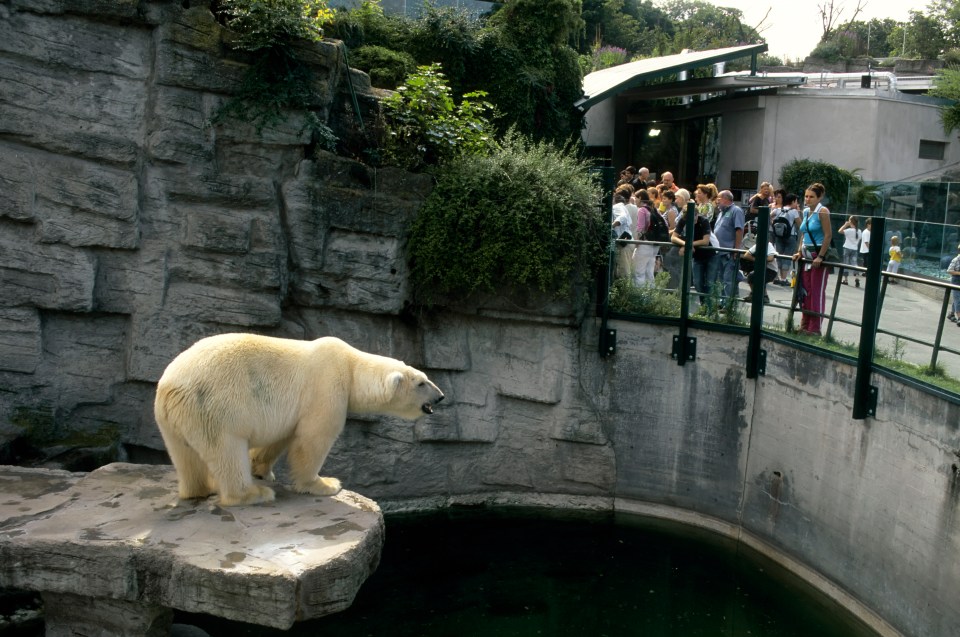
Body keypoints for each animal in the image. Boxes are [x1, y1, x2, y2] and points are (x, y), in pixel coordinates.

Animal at [155, 332, 446, 506]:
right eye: (421, 382)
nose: (441, 396)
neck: (350, 366)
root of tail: (170, 387)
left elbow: (282, 436)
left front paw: (263, 469)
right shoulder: (327, 387)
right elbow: (313, 439)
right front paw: (326, 484)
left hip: (176, 419)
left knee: (185, 457)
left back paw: (200, 489)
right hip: (215, 407)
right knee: (227, 449)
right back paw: (253, 493)